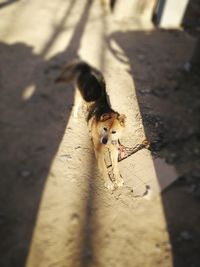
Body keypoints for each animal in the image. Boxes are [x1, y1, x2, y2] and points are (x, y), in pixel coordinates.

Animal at [55, 60, 126, 191]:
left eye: (113, 132)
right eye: (104, 129)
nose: (104, 141)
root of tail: (87, 68)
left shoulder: (114, 149)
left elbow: (115, 166)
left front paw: (118, 179)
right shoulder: (98, 150)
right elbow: (104, 168)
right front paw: (108, 182)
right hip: (79, 96)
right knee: (76, 107)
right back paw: (76, 117)